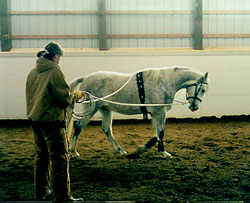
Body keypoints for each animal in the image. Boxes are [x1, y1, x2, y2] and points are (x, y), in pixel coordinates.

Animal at [66, 66, 209, 159]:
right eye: (202, 89)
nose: (194, 107)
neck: (165, 82)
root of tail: (85, 78)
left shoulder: (156, 114)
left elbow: (157, 134)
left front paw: (146, 148)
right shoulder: (160, 112)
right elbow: (161, 133)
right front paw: (163, 153)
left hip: (105, 109)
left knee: (107, 129)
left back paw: (120, 151)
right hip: (91, 109)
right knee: (78, 127)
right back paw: (74, 152)